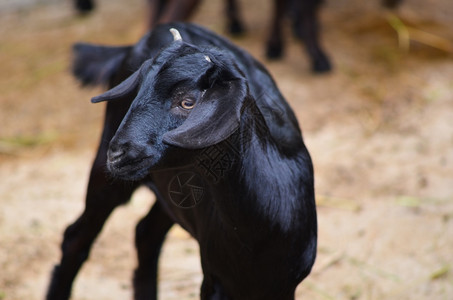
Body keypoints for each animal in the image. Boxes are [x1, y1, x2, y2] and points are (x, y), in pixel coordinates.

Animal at [46, 22, 314, 298]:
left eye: (187, 102)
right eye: (137, 92)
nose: (117, 154)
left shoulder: (284, 284)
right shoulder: (213, 279)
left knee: (145, 234)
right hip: (106, 175)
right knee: (75, 238)